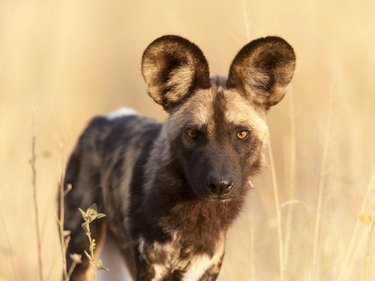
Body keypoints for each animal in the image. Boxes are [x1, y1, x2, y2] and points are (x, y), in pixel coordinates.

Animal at [64, 35, 296, 280]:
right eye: (193, 134)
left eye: (241, 134)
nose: (220, 184)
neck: (196, 216)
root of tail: (105, 118)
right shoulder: (150, 268)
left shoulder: (206, 268)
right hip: (80, 256)